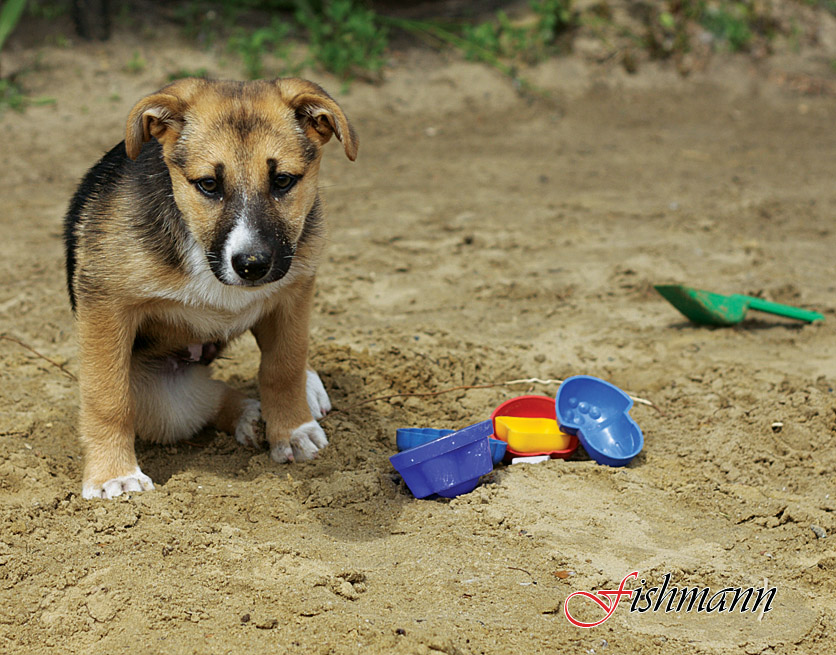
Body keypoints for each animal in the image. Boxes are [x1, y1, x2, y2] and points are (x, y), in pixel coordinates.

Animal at [62, 78, 356, 498]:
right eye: (209, 185)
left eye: (283, 180)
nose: (252, 266)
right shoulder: (105, 303)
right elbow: (107, 397)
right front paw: (112, 475)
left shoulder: (294, 291)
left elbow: (283, 366)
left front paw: (293, 431)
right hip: (166, 399)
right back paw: (250, 414)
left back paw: (270, 406)